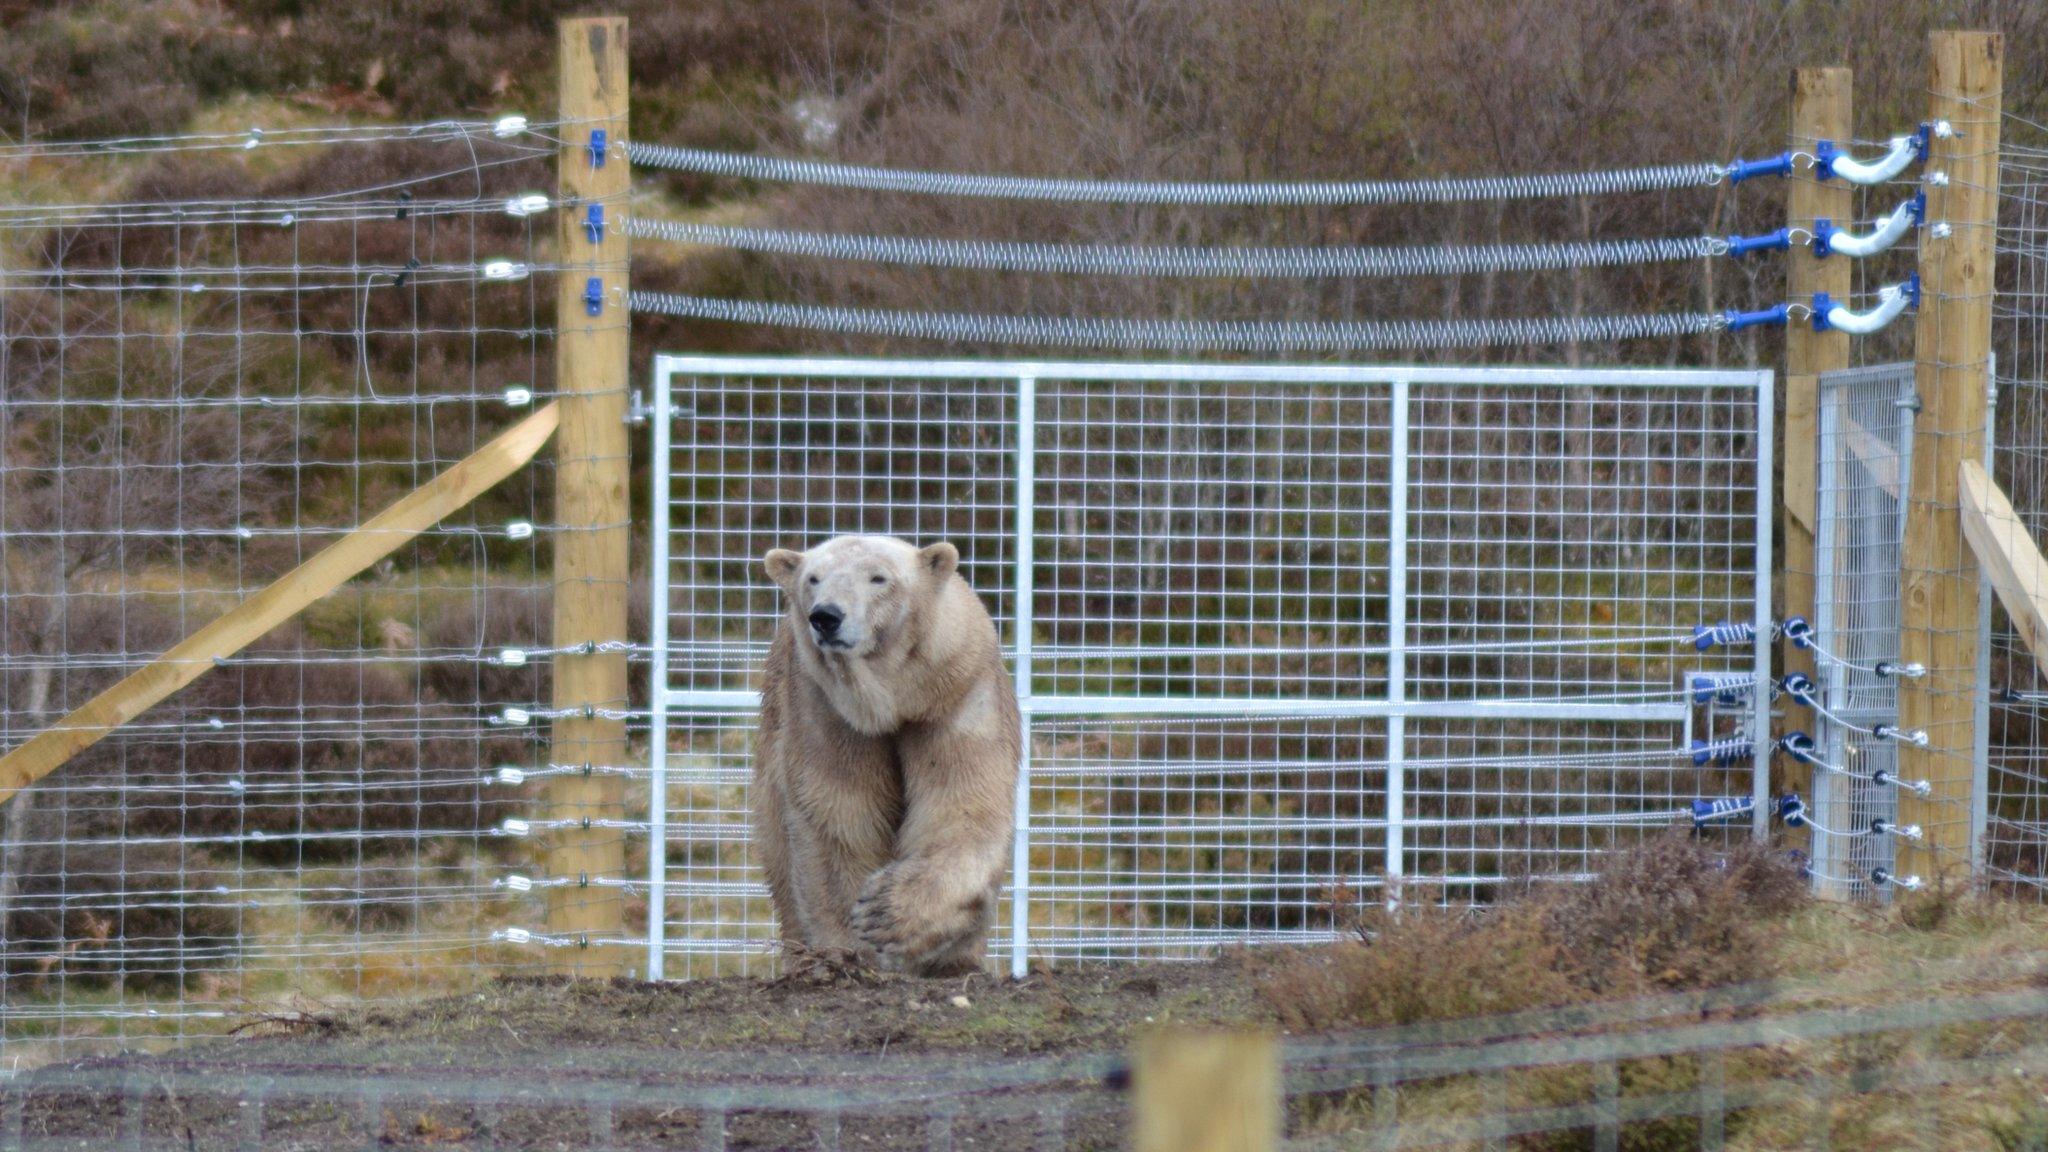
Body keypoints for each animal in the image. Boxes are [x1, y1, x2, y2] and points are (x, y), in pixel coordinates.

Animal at [757, 532, 1019, 971]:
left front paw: (886, 914)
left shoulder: (956, 695)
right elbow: (839, 815)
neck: (895, 700)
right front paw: (851, 948)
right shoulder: (826, 708)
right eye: (813, 578)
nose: (826, 616)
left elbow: (962, 804)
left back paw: (958, 963)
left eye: (878, 578)